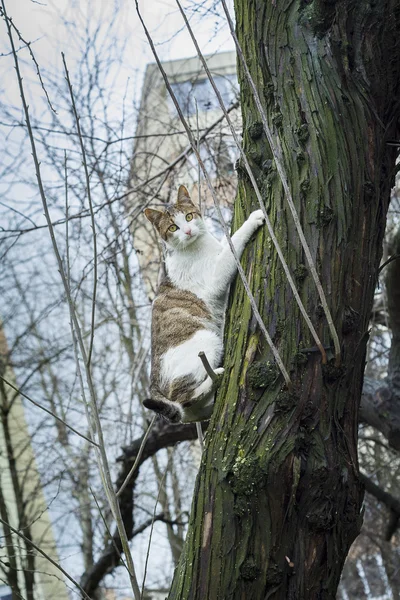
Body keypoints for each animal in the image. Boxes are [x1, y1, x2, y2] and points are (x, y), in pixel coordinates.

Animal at [142, 185, 264, 424]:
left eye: (189, 217)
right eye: (173, 227)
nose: (188, 231)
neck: (198, 244)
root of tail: (153, 384)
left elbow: (227, 243)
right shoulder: (215, 277)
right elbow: (233, 242)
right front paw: (253, 219)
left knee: (188, 413)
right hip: (207, 339)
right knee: (181, 398)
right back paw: (214, 378)